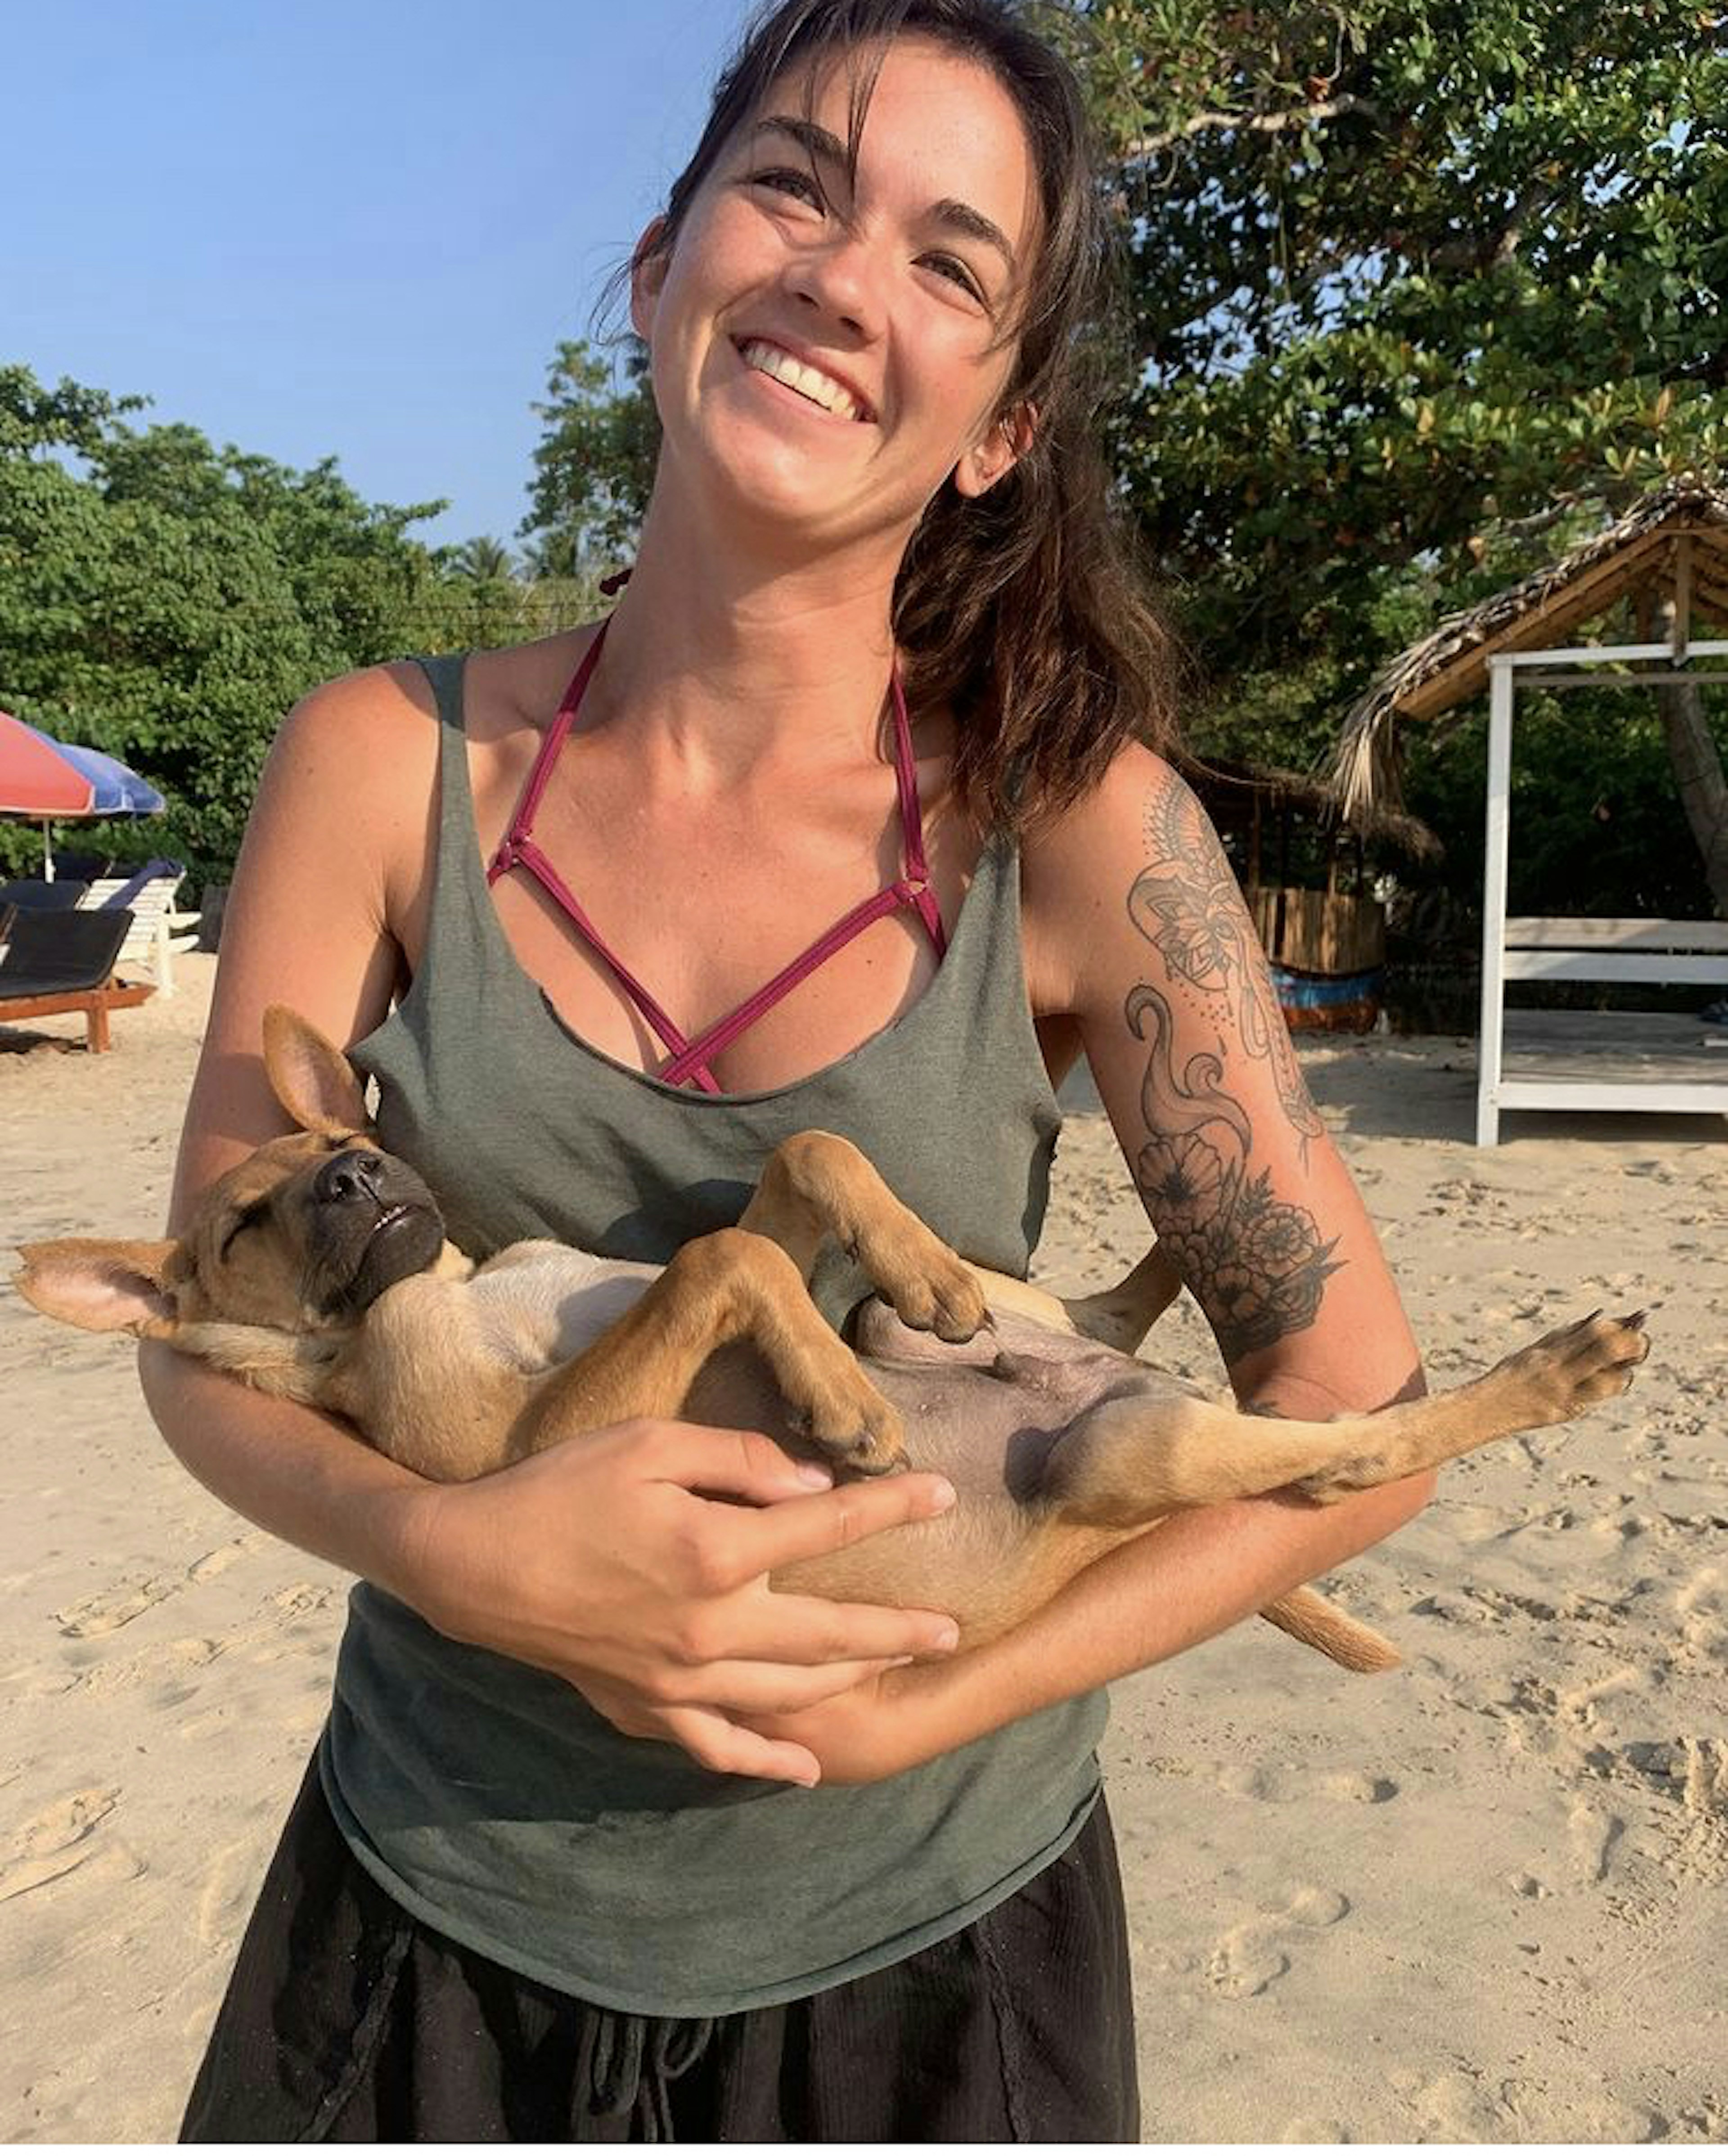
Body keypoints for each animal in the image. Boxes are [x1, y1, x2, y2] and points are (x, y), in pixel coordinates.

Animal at [23, 1009, 1648, 1664]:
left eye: (332, 1143)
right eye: (245, 1226)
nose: (361, 1180)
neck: (456, 1289)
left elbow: (802, 1159)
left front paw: (915, 1270)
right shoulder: (536, 1451)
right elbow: (725, 1251)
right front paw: (843, 1413)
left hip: (1070, 1369)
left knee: (1112, 1317)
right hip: (1134, 1455)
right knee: (1345, 1455)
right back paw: (1557, 1371)